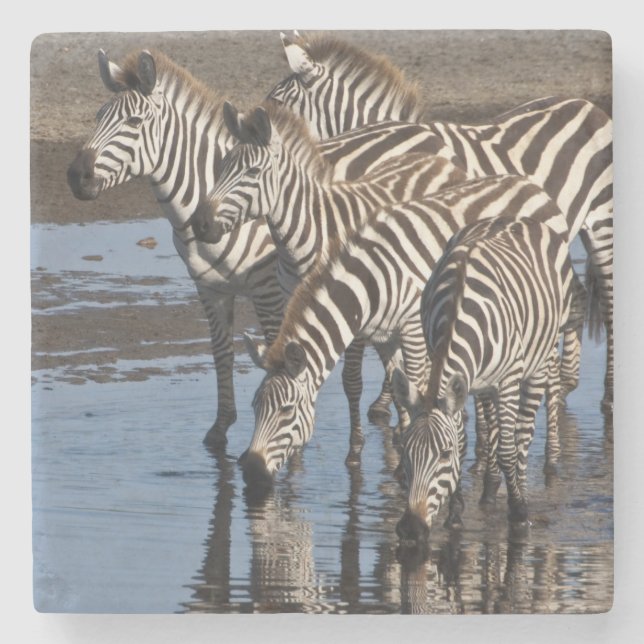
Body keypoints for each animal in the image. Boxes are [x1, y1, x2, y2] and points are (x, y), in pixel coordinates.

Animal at [235, 173, 570, 491]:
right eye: (254, 406)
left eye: (287, 410)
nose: (251, 471)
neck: (369, 282)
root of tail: (533, 186)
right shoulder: (385, 337)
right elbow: (401, 391)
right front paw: (402, 457)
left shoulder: (412, 329)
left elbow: (418, 382)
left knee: (551, 373)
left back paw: (552, 457)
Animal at [267, 31, 613, 413]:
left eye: (277, 103)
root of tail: (586, 105)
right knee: (576, 295)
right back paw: (566, 382)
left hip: (602, 219)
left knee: (608, 302)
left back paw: (606, 394)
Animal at [394, 217, 575, 545]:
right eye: (404, 450)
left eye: (443, 454)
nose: (411, 529)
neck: (457, 306)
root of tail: (515, 218)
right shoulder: (452, 373)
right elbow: (465, 440)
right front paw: (455, 514)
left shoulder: (509, 377)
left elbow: (507, 450)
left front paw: (519, 513)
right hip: (481, 382)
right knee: (492, 425)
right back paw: (490, 489)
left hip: (540, 356)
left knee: (523, 433)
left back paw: (524, 489)